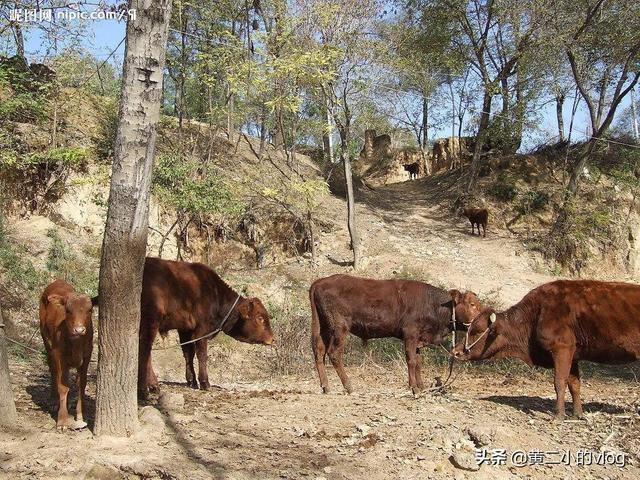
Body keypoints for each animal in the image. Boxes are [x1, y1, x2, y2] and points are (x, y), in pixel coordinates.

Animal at [38, 280, 96, 430]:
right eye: (68, 311)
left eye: (89, 310)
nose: (79, 330)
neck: (76, 344)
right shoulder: (59, 354)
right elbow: (63, 387)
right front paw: (62, 420)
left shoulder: (87, 356)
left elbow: (81, 384)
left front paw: (80, 415)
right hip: (47, 343)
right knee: (53, 371)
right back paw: (54, 401)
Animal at [140, 256, 276, 400]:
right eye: (260, 318)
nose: (273, 339)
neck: (214, 294)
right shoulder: (201, 330)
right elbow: (202, 355)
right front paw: (205, 382)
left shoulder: (185, 329)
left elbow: (188, 353)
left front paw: (192, 381)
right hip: (150, 321)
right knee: (145, 350)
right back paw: (148, 388)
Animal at [312, 274, 484, 394]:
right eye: (472, 304)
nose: (483, 320)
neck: (433, 304)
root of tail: (320, 282)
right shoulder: (410, 334)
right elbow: (411, 361)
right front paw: (414, 388)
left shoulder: (419, 339)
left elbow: (418, 361)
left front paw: (421, 386)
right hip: (339, 327)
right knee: (334, 353)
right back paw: (348, 386)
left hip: (323, 327)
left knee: (319, 352)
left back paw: (325, 386)